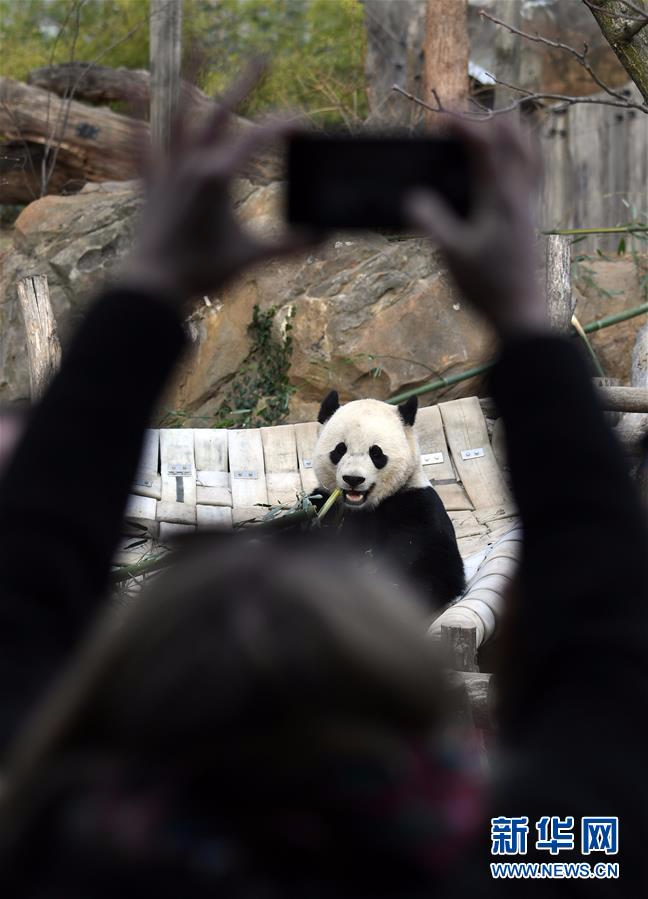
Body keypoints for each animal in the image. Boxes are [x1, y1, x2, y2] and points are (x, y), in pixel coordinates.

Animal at [314, 388, 466, 608]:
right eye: (340, 449)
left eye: (376, 453)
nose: (353, 479)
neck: (362, 508)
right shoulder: (324, 504)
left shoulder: (415, 502)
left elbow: (436, 561)